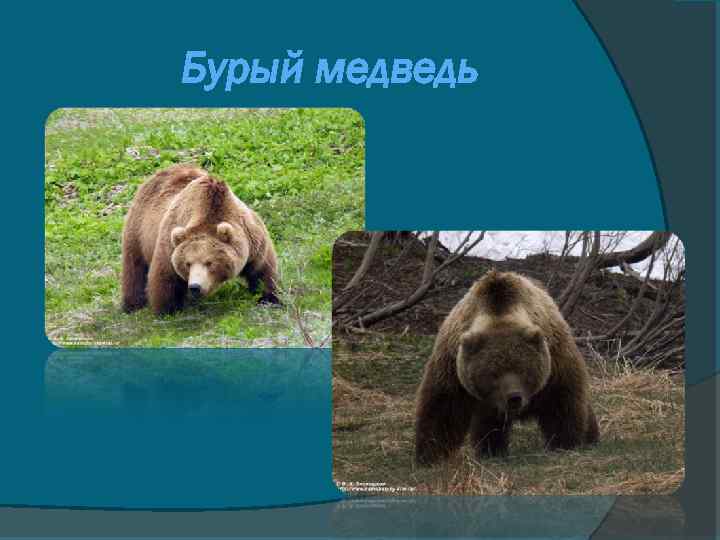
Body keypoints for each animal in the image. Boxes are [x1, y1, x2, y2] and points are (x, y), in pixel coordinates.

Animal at [121, 164, 280, 315]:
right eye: (188, 263)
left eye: (209, 262)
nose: (195, 287)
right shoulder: (170, 244)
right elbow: (165, 277)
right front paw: (167, 310)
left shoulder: (251, 238)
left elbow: (262, 269)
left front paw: (268, 298)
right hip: (138, 230)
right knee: (134, 268)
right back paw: (132, 305)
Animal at [415, 270, 599, 465]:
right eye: (493, 373)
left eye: (523, 369)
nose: (514, 397)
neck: (499, 313)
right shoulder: (452, 363)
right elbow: (443, 407)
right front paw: (430, 454)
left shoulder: (555, 358)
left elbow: (561, 401)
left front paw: (565, 442)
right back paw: (491, 451)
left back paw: (590, 437)